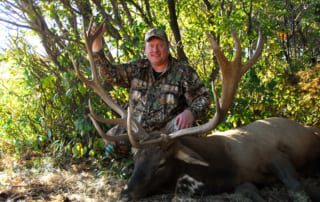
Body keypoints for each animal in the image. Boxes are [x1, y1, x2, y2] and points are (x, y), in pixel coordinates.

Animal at [72, 17, 320, 202]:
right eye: (136, 159)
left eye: (161, 164)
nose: (125, 195)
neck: (226, 168)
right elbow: (246, 189)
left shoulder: (273, 153)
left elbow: (296, 188)